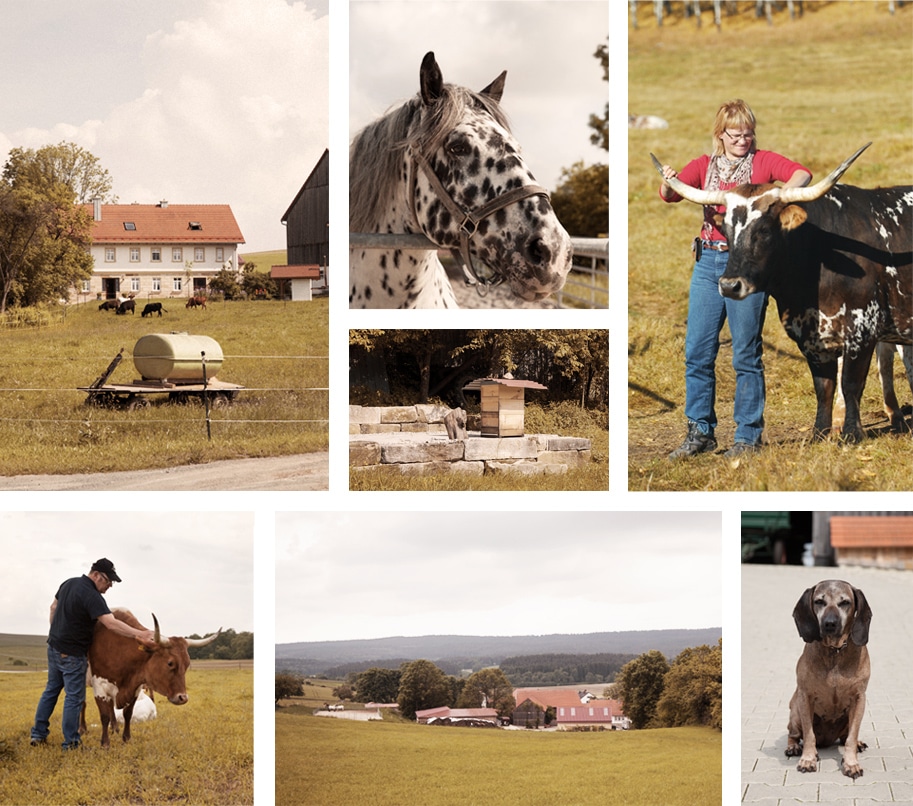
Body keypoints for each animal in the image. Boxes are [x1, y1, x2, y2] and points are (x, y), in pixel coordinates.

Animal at [79, 608, 220, 748]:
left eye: (187, 664)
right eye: (170, 663)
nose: (183, 698)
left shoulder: (135, 687)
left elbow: (127, 713)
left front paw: (126, 739)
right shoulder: (100, 686)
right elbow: (104, 716)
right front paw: (105, 743)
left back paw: (114, 728)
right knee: (83, 704)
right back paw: (83, 729)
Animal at [652, 140, 908, 442]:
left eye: (764, 230)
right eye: (726, 229)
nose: (728, 285)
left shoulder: (862, 328)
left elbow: (851, 383)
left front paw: (852, 434)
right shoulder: (811, 337)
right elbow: (823, 386)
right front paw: (820, 433)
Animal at [784, 580, 868, 784]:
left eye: (845, 602)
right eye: (819, 601)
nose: (830, 623)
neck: (834, 651)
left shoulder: (859, 698)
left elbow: (851, 737)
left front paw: (851, 763)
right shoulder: (805, 697)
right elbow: (809, 735)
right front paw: (808, 759)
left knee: (846, 736)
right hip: (795, 709)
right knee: (793, 734)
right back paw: (795, 747)